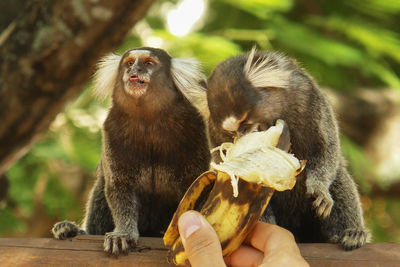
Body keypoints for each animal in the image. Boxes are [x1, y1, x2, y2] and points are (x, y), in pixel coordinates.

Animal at [51, 47, 211, 256]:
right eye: (129, 63)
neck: (149, 121)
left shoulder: (193, 127)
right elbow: (119, 187)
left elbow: (194, 185)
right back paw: (72, 230)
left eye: (149, 63)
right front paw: (123, 234)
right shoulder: (112, 129)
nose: (134, 71)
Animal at [208, 48, 370, 251]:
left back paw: (352, 232)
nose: (241, 136)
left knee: (340, 179)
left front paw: (319, 189)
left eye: (244, 122)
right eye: (232, 131)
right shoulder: (214, 129)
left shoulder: (307, 97)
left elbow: (325, 148)